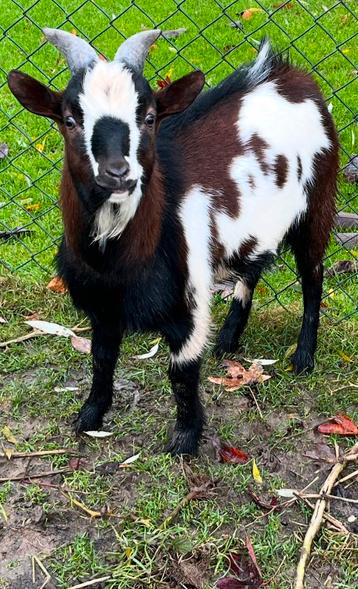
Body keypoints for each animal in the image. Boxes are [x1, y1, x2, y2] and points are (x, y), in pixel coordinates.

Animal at [7, 27, 338, 454]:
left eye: (149, 117)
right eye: (69, 119)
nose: (118, 172)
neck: (117, 262)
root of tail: (289, 74)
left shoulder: (189, 301)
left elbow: (181, 373)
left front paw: (184, 440)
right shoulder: (102, 306)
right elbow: (101, 360)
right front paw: (89, 417)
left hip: (318, 204)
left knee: (313, 277)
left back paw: (303, 357)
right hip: (254, 225)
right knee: (253, 267)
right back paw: (228, 339)